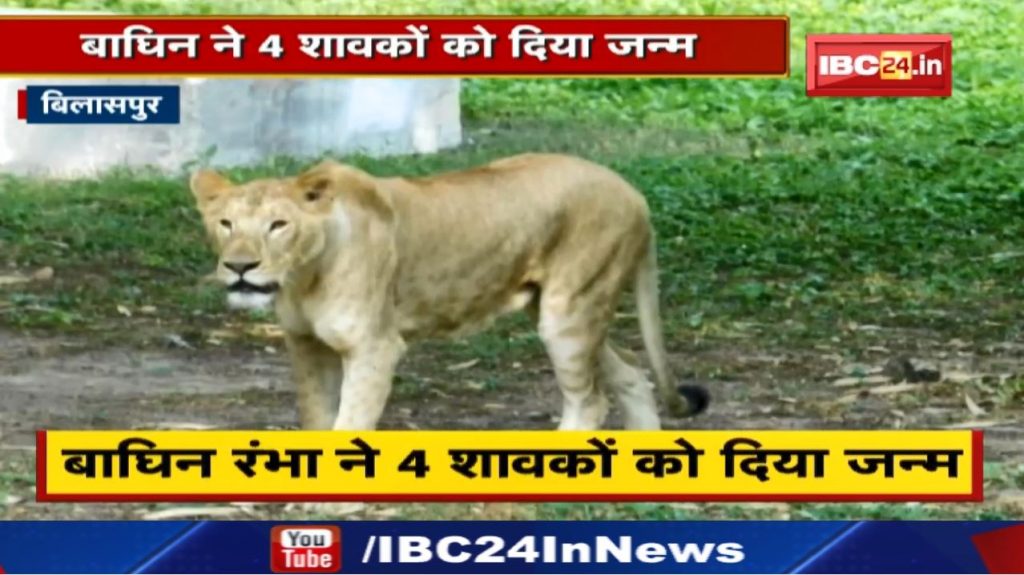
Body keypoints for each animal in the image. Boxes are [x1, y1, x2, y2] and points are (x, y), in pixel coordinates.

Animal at [190, 153, 709, 431]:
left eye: (278, 225)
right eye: (226, 224)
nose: (239, 267)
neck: (303, 277)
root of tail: (634, 194)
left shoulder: (374, 346)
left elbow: (351, 419)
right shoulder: (306, 345)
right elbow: (318, 417)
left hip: (569, 312)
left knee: (590, 402)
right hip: (565, 308)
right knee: (633, 373)